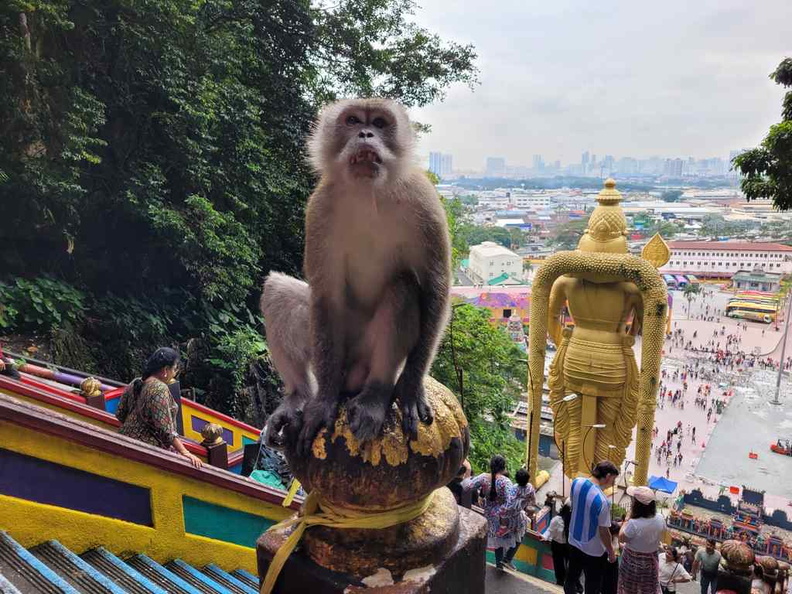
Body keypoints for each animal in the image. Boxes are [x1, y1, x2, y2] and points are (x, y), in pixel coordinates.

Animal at [262, 96, 452, 454]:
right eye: (352, 121)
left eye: (378, 123)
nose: (365, 134)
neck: (369, 192)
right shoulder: (319, 208)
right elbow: (324, 295)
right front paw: (322, 403)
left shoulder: (424, 201)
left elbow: (435, 287)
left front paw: (411, 387)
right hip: (335, 357)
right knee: (277, 291)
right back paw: (300, 396)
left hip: (365, 359)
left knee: (403, 287)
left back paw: (375, 396)